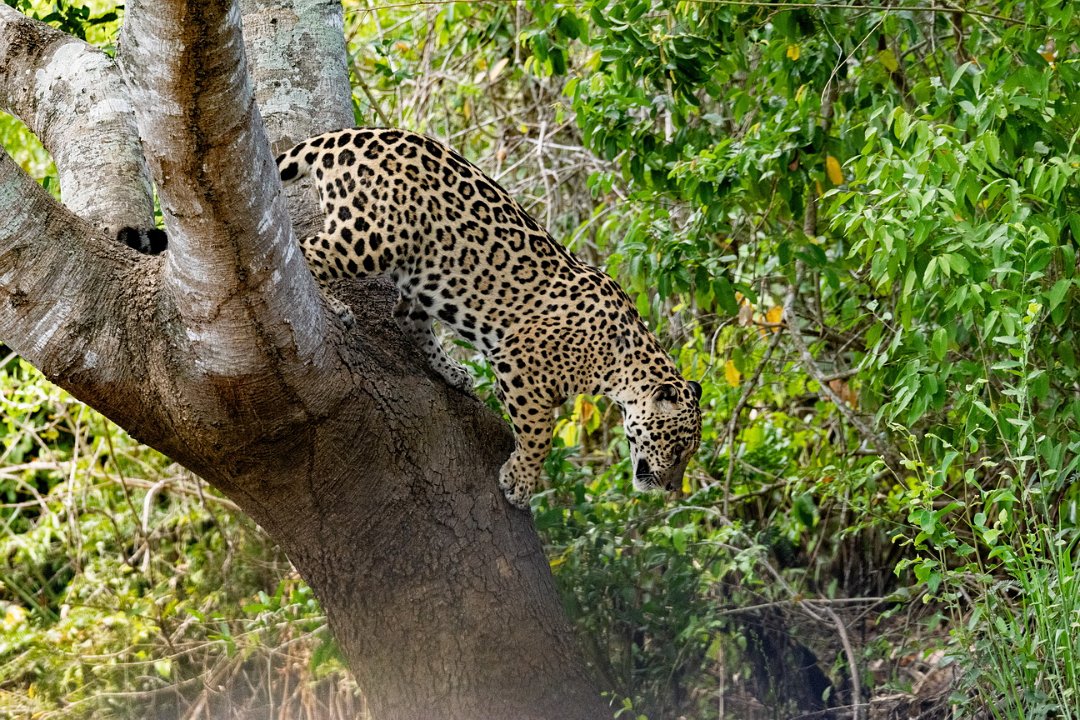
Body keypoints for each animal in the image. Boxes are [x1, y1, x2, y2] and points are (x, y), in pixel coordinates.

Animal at [123, 127, 703, 509]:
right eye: (678, 448)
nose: (671, 490)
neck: (622, 363)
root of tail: (356, 135)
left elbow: (417, 330)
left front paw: (456, 376)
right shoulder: (522, 365)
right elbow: (539, 430)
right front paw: (519, 483)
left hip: (410, 255)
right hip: (370, 238)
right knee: (302, 253)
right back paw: (335, 307)